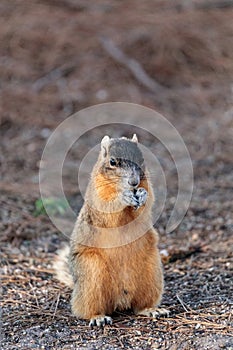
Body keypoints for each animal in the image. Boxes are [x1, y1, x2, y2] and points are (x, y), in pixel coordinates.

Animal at [53, 135, 168, 328]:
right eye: (112, 162)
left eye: (142, 159)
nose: (134, 182)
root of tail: (121, 300)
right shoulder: (98, 195)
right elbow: (109, 209)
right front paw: (124, 197)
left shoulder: (147, 186)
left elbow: (148, 201)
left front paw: (142, 194)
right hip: (91, 275)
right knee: (85, 308)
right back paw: (98, 317)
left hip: (152, 273)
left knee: (139, 306)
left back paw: (151, 309)